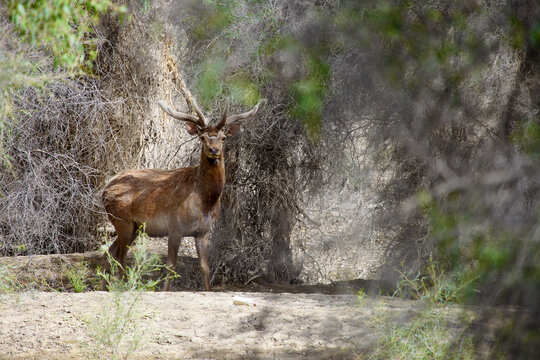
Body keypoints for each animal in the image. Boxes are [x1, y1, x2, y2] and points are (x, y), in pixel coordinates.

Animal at [102, 97, 266, 292]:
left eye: (223, 137)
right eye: (202, 137)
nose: (214, 150)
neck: (205, 201)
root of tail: (105, 189)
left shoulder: (203, 232)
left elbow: (205, 266)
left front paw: (208, 290)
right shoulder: (174, 227)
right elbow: (171, 265)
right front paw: (165, 290)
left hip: (134, 227)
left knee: (110, 253)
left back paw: (106, 287)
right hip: (123, 221)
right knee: (119, 256)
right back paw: (123, 287)